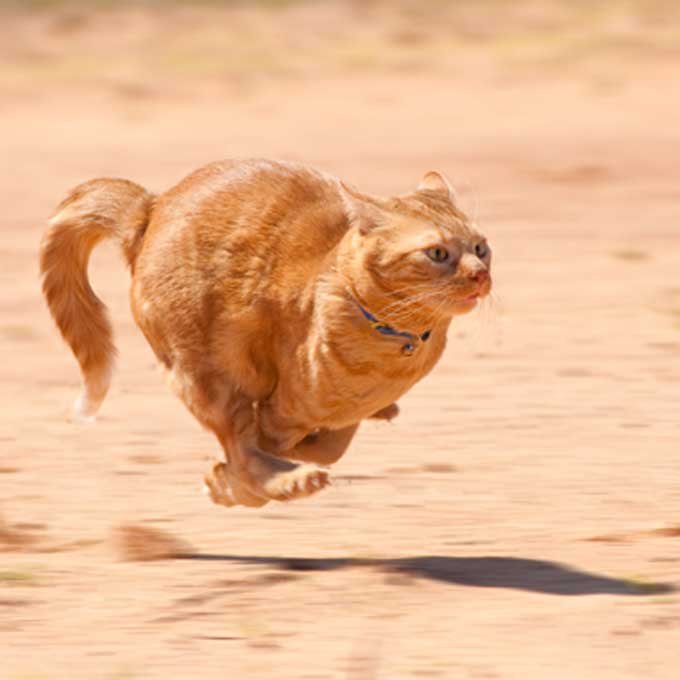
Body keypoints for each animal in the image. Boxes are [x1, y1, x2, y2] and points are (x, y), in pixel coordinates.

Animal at [39, 159, 492, 508]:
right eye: (438, 253)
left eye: (480, 247)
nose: (480, 274)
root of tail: (150, 207)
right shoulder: (281, 405)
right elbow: (262, 447)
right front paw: (231, 484)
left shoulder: (340, 413)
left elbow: (332, 444)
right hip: (207, 373)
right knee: (242, 450)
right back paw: (288, 482)